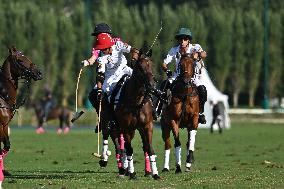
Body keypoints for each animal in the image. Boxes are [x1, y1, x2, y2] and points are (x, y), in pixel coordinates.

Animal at [0, 46, 42, 184]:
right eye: (20, 60)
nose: (39, 73)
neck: (3, 95)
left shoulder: (5, 125)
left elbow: (6, 146)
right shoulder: (0, 126)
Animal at [114, 48, 161, 179]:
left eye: (151, 64)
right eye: (139, 66)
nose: (152, 85)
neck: (136, 101)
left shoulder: (147, 125)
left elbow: (149, 148)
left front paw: (156, 174)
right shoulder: (126, 128)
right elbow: (129, 149)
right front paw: (132, 173)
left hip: (139, 129)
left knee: (142, 146)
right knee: (120, 148)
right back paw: (124, 170)